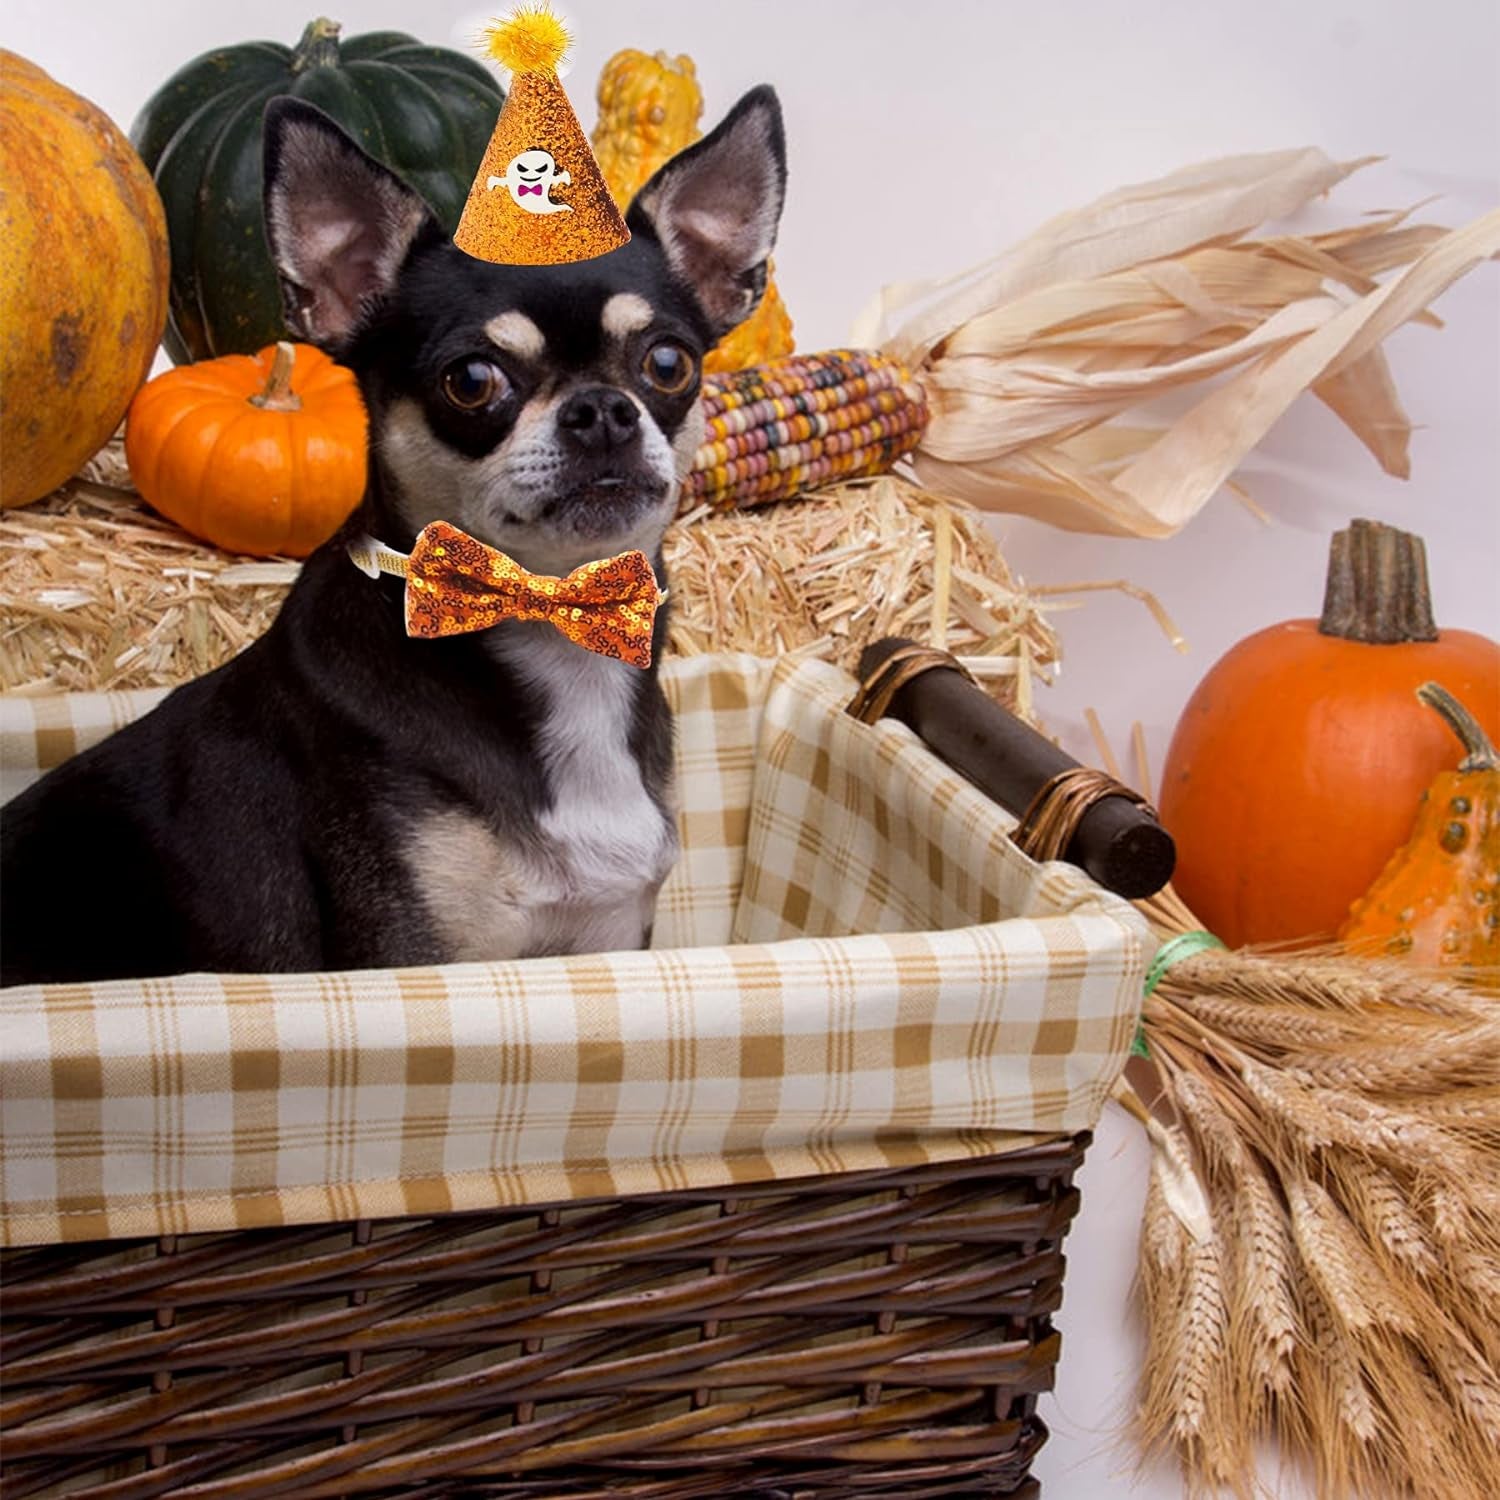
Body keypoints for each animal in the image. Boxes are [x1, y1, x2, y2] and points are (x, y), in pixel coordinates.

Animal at [0, 90, 792, 984]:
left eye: (668, 364)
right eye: (471, 380)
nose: (602, 410)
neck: (552, 636)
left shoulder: (606, 938)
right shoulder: (418, 957)